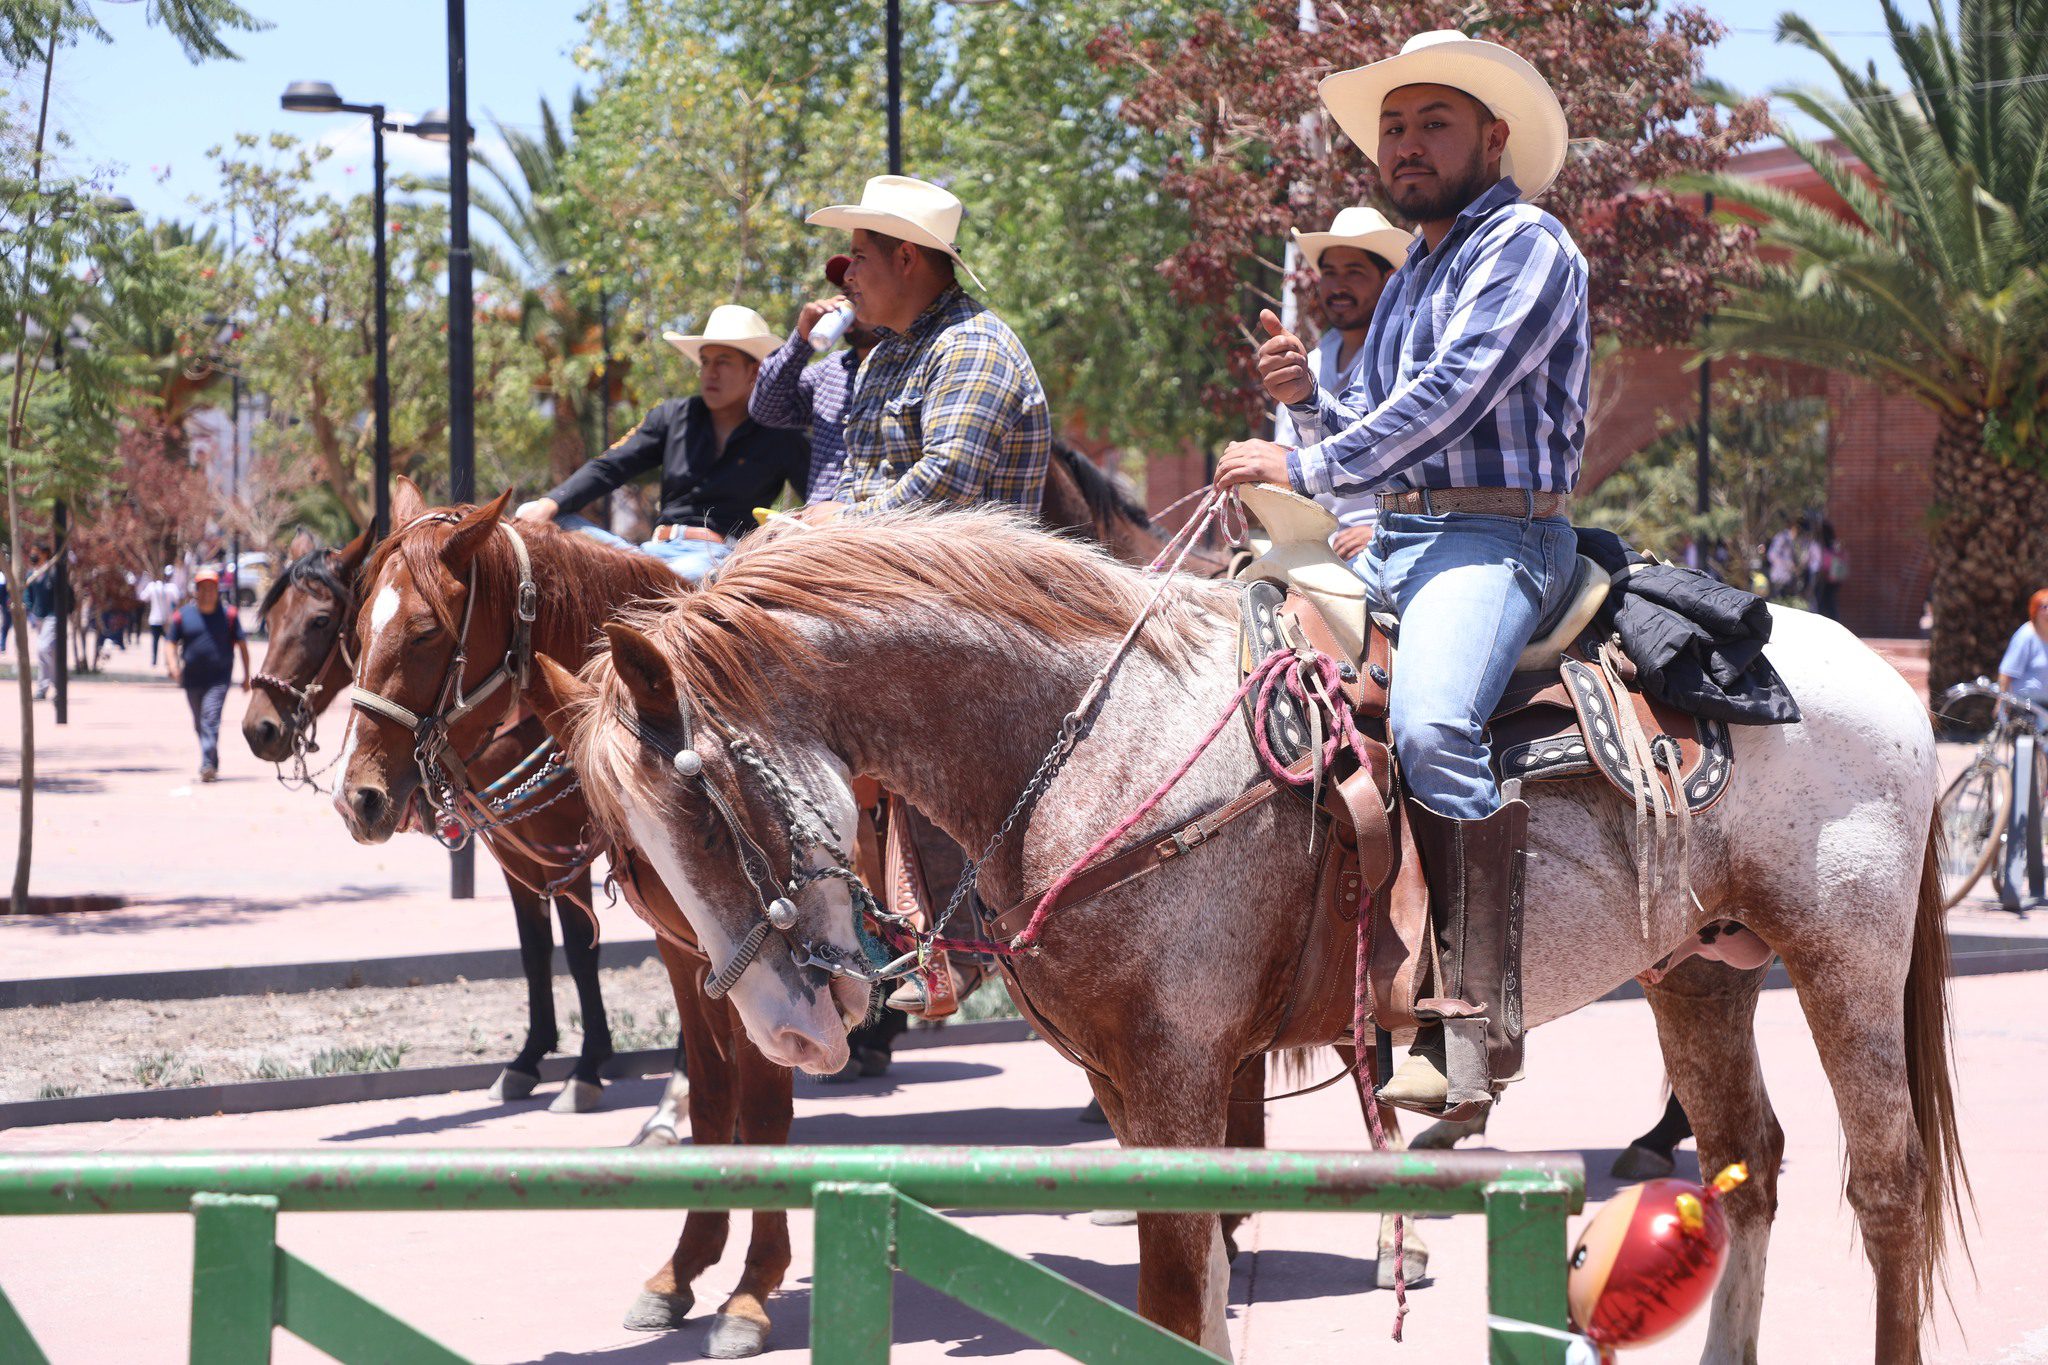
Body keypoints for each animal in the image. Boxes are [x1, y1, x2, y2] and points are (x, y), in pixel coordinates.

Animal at [540, 505, 1966, 1365]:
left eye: (702, 796)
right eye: (624, 851)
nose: (785, 1028)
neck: (1096, 740)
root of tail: (1872, 674)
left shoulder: (1178, 1070)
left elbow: (1178, 1292)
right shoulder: (1131, 1088)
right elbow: (1200, 1293)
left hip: (1839, 961)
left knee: (1885, 1187)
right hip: (1697, 972)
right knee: (1747, 1165)